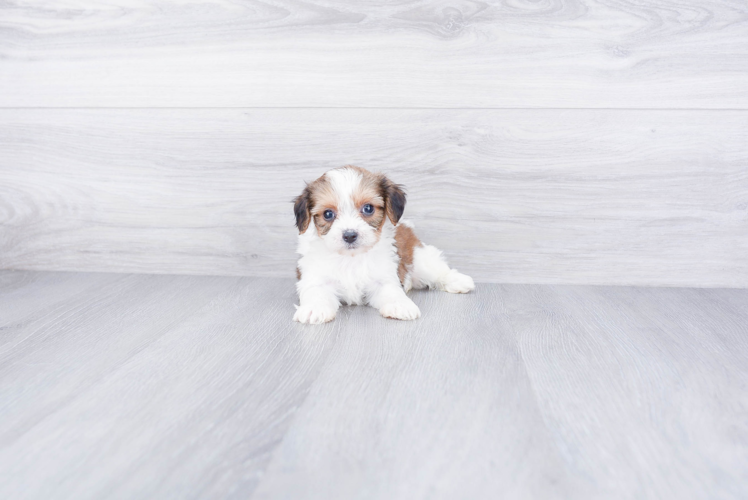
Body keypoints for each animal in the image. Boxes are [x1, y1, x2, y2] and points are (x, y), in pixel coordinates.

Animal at [292, 165, 474, 324]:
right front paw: (314, 309)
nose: (350, 235)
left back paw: (458, 281)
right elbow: (316, 290)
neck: (351, 258)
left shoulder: (384, 277)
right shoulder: (315, 276)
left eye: (368, 208)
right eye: (328, 214)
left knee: (437, 270)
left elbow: (391, 290)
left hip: (419, 258)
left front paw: (400, 305)